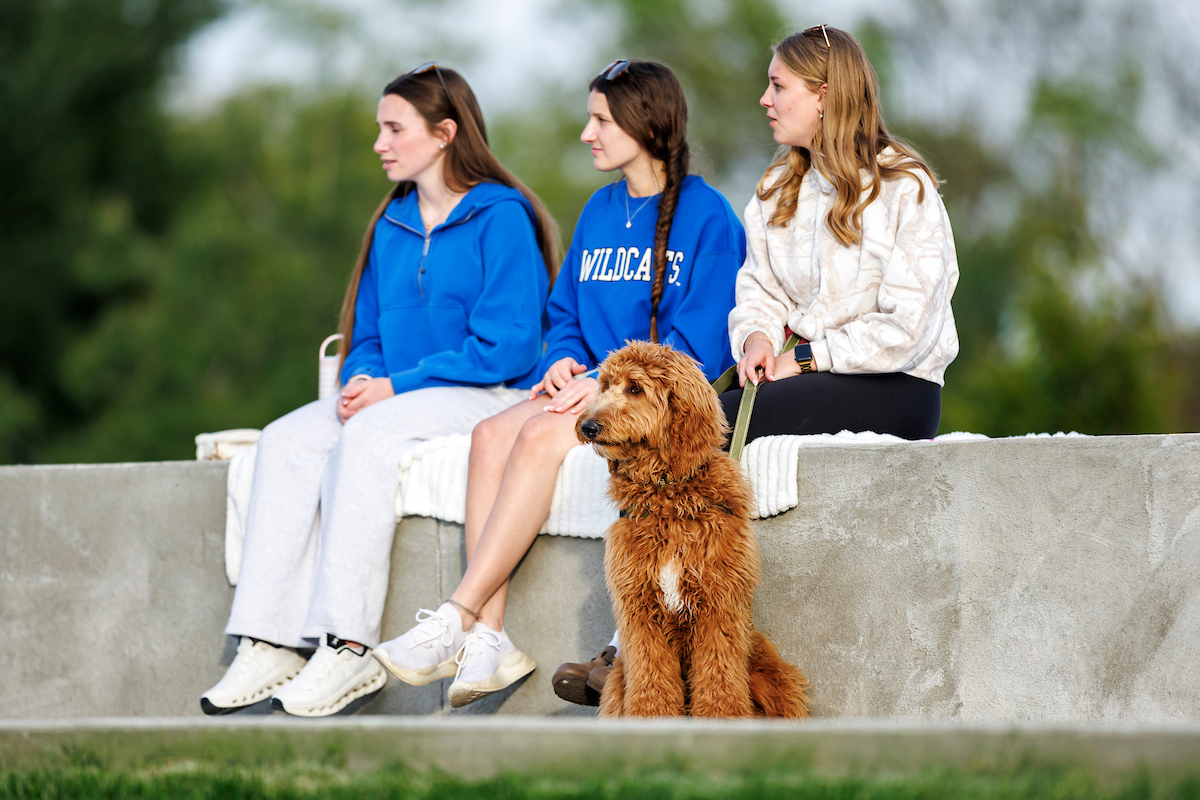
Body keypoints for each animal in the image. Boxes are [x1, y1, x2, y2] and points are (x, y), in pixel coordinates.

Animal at [576, 341, 810, 718]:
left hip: (770, 673)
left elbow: (719, 677)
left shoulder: (719, 604)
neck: (668, 498)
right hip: (615, 684)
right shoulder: (640, 609)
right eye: (605, 386)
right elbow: (651, 677)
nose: (587, 426)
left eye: (635, 388)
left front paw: (720, 718)